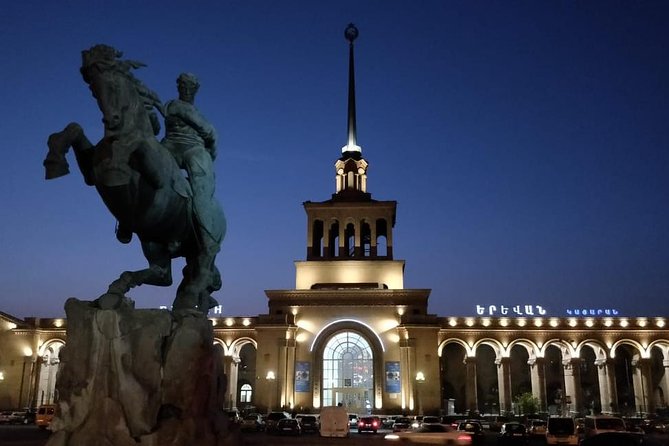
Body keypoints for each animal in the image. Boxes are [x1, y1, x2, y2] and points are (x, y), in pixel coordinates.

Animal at [45, 43, 227, 312]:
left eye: (116, 83)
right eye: (93, 88)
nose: (112, 120)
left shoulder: (158, 180)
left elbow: (133, 145)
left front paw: (118, 163)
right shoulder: (91, 174)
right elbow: (75, 129)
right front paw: (54, 161)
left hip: (204, 239)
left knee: (202, 266)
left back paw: (189, 297)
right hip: (154, 239)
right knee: (163, 274)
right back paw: (114, 291)